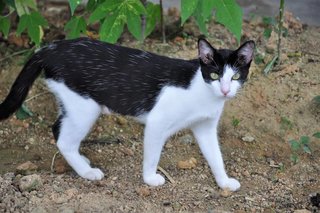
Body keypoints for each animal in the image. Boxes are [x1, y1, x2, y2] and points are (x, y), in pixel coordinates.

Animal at [0, 37, 255, 191]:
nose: (225, 90)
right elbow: (152, 155)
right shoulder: (157, 122)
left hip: (73, 105)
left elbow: (215, 157)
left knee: (58, 128)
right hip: (85, 108)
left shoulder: (205, 127)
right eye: (214, 75)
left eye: (234, 77)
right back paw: (87, 172)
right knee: (64, 140)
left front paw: (224, 182)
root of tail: (49, 48)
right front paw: (150, 179)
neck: (203, 92)